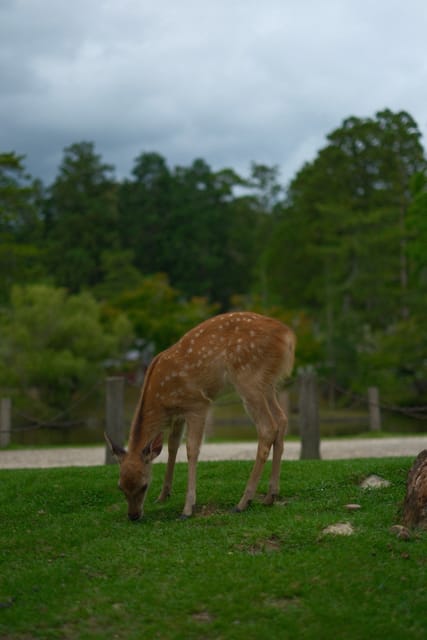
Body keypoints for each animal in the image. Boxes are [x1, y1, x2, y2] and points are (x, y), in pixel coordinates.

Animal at [105, 312, 296, 520]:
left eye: (144, 485)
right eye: (120, 487)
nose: (133, 516)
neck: (160, 400)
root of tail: (287, 336)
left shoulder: (197, 404)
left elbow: (191, 449)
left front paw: (188, 508)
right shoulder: (178, 414)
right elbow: (172, 446)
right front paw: (163, 495)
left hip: (249, 378)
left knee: (268, 427)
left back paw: (243, 502)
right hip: (267, 383)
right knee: (282, 419)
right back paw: (270, 495)